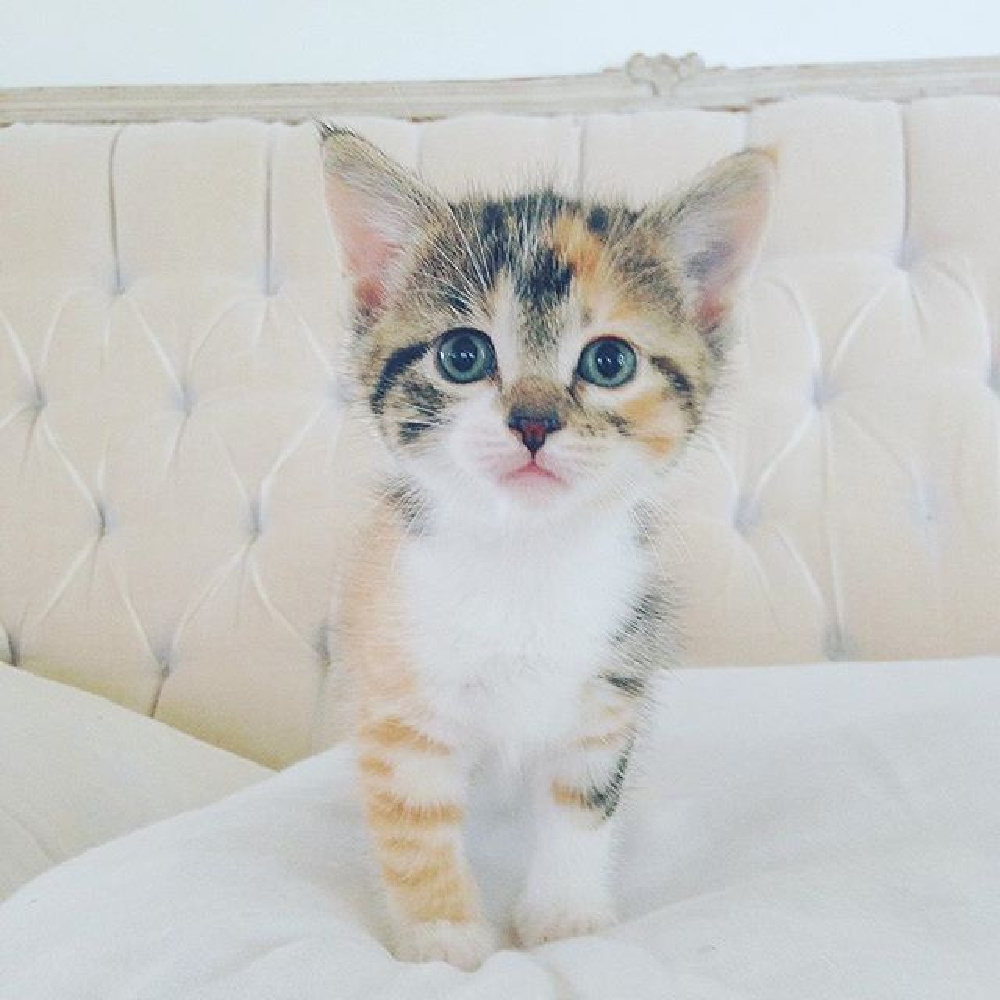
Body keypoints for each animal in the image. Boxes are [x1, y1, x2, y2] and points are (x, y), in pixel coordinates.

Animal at [320, 125, 772, 968]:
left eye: (610, 361)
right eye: (462, 356)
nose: (532, 421)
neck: (526, 556)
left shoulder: (609, 683)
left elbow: (581, 802)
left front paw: (565, 915)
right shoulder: (400, 689)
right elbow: (413, 823)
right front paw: (445, 942)